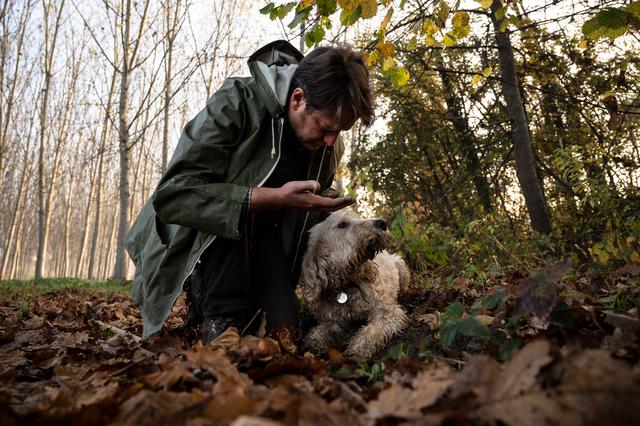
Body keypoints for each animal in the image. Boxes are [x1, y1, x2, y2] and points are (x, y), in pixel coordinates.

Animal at [302, 210, 410, 360]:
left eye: (357, 217)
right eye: (342, 224)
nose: (382, 223)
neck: (347, 285)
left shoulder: (387, 312)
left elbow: (371, 331)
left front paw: (358, 349)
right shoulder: (332, 320)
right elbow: (319, 331)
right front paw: (315, 342)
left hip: (401, 267)